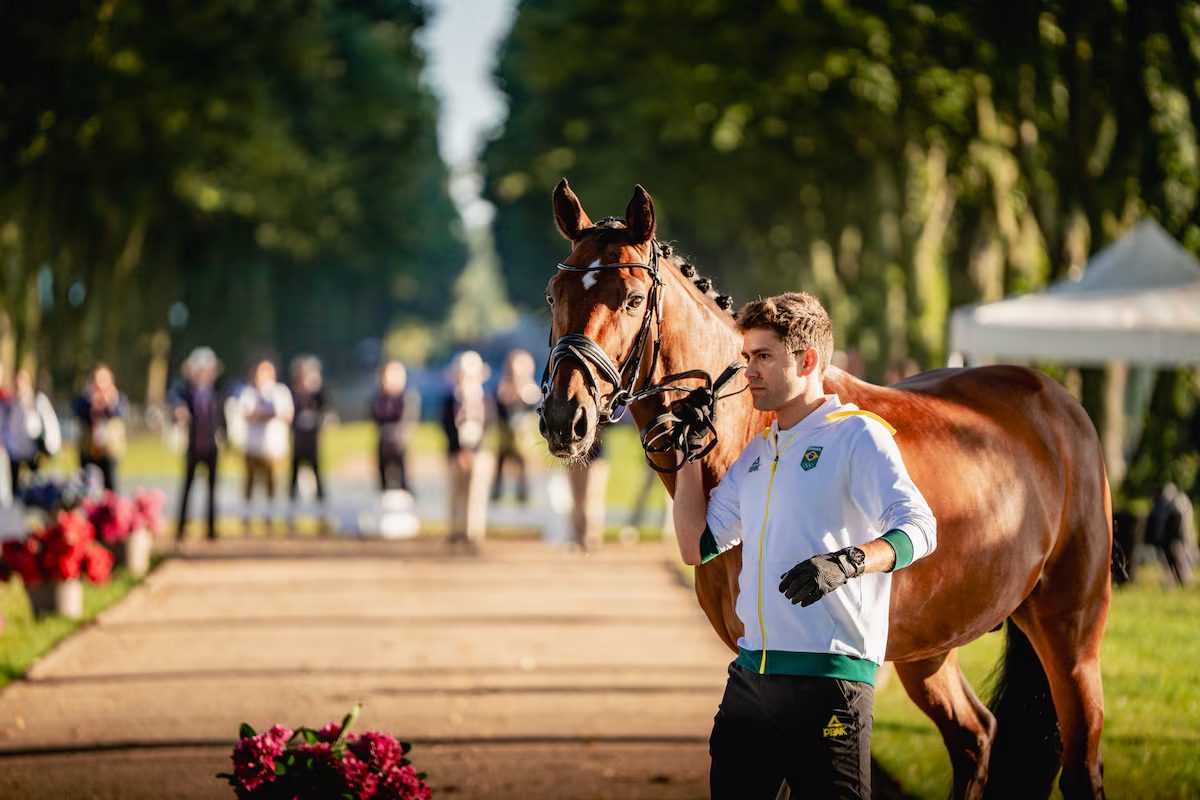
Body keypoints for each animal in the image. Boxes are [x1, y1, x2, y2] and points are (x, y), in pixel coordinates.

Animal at [540, 181, 1108, 800]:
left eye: (632, 298)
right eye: (553, 294)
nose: (564, 418)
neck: (754, 425)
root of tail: (1058, 401)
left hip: (1072, 633)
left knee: (1080, 763)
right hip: (933, 647)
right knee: (975, 736)